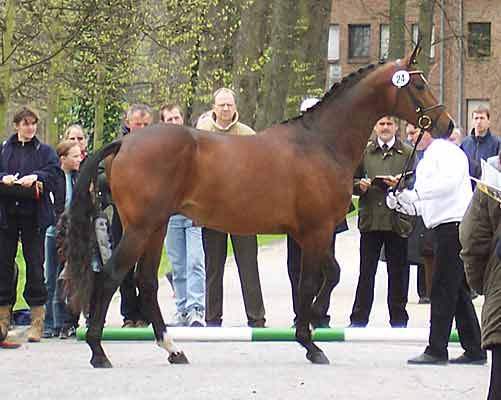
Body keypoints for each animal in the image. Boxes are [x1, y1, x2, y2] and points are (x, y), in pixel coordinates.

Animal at [65, 44, 454, 368]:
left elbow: (327, 275)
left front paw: (312, 323)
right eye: (419, 85)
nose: (446, 123)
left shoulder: (308, 233)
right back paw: (98, 352)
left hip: (156, 227)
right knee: (111, 276)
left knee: (146, 281)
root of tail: (125, 142)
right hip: (141, 228)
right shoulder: (316, 230)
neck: (320, 143)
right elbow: (312, 282)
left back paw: (173, 349)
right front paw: (310, 340)